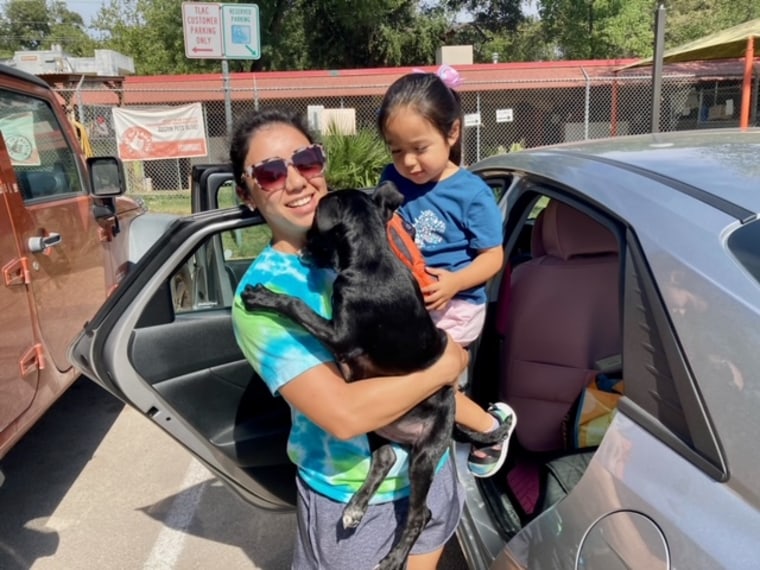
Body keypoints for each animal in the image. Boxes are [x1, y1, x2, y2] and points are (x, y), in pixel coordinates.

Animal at [240, 182, 508, 568]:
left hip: (425, 454)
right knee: (385, 459)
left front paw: (265, 296)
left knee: (420, 513)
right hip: (380, 429)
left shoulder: (340, 335)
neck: (373, 259)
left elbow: (298, 306)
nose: (305, 245)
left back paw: (395, 557)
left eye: (316, 230)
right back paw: (355, 508)